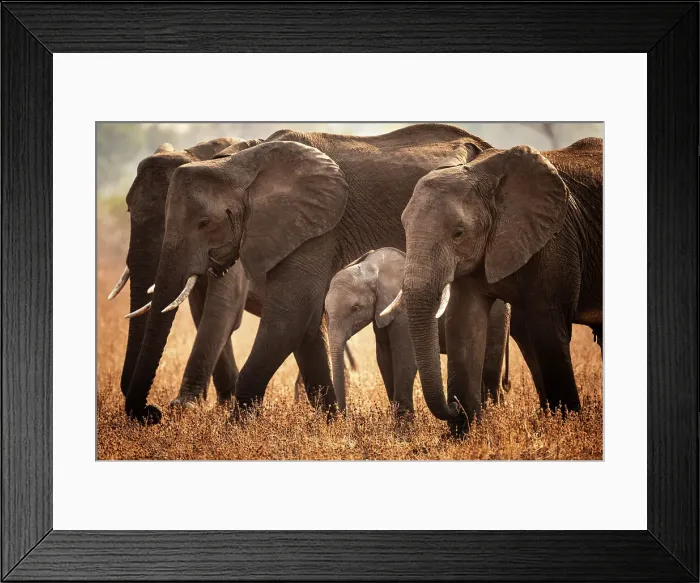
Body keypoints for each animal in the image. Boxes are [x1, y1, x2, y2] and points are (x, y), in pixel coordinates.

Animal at [325, 247, 510, 417]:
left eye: (355, 308)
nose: (344, 414)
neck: (374, 267)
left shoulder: (404, 314)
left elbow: (405, 358)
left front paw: (403, 427)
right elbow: (384, 359)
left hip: (497, 315)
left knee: (490, 367)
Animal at [382, 137, 602, 432]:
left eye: (458, 233)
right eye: (404, 228)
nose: (454, 406)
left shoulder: (556, 241)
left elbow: (549, 330)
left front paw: (566, 425)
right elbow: (465, 325)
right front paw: (463, 432)